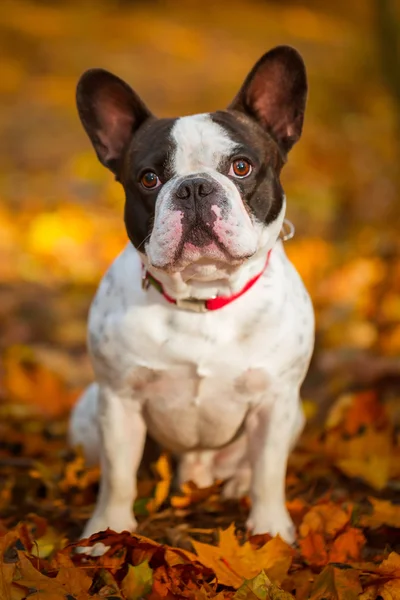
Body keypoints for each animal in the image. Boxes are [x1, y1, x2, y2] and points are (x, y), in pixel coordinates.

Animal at [69, 44, 314, 548]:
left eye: (241, 167)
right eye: (147, 178)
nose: (195, 186)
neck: (203, 298)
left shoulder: (276, 402)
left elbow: (269, 472)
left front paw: (270, 530)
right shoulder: (119, 401)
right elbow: (118, 477)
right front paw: (106, 531)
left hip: (295, 412)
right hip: (87, 412)